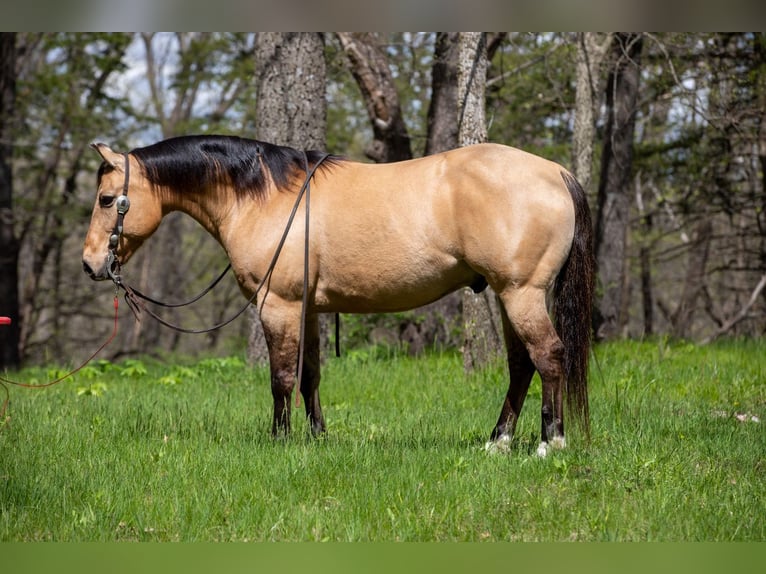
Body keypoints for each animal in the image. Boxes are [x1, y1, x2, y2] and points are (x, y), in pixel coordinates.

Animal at [82, 135, 594, 456]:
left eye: (107, 199)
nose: (90, 264)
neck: (262, 197)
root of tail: (556, 172)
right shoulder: (307, 309)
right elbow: (310, 375)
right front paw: (318, 438)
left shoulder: (278, 305)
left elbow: (281, 378)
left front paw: (280, 441)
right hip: (511, 297)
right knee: (521, 365)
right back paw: (498, 441)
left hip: (521, 294)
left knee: (549, 356)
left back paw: (550, 442)